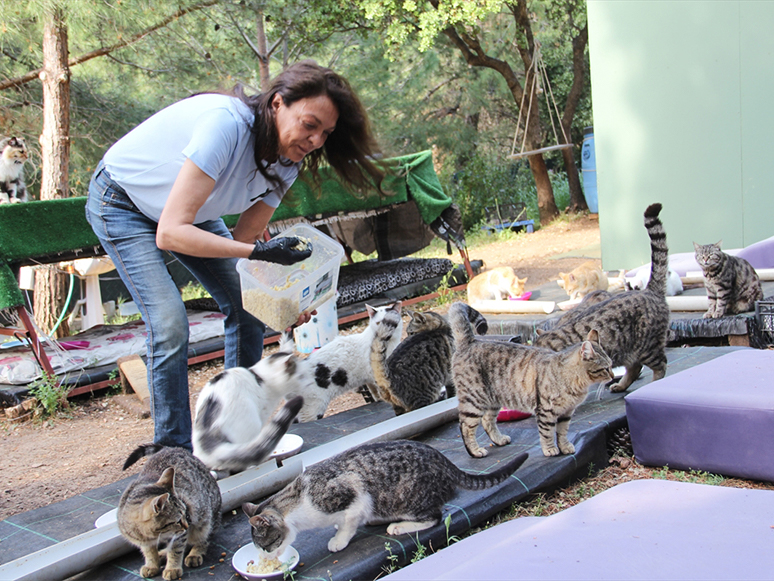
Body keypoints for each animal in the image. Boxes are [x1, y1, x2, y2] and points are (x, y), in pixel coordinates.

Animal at [117, 444, 221, 580]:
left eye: (186, 514)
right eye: (177, 520)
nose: (187, 525)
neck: (152, 535)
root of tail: (171, 447)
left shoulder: (180, 534)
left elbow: (176, 550)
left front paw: (172, 568)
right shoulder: (144, 541)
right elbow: (149, 552)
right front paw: (152, 565)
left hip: (206, 519)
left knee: (204, 538)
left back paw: (195, 553)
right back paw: (162, 554)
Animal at [246, 438, 532, 556]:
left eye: (265, 545)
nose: (267, 557)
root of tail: (441, 457)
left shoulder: (354, 490)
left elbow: (350, 521)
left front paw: (339, 540)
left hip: (410, 497)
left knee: (435, 516)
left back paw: (398, 526)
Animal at [452, 302, 616, 456]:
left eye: (611, 365)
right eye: (606, 368)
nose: (613, 375)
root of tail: (470, 341)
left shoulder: (566, 412)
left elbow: (562, 432)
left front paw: (565, 447)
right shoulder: (546, 411)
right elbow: (547, 433)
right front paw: (550, 449)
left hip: (493, 400)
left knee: (487, 421)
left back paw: (499, 440)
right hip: (474, 401)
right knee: (465, 426)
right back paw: (475, 451)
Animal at [536, 202, 668, 392]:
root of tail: (648, 290)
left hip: (648, 348)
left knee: (660, 365)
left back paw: (653, 385)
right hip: (629, 351)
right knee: (634, 367)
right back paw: (620, 385)